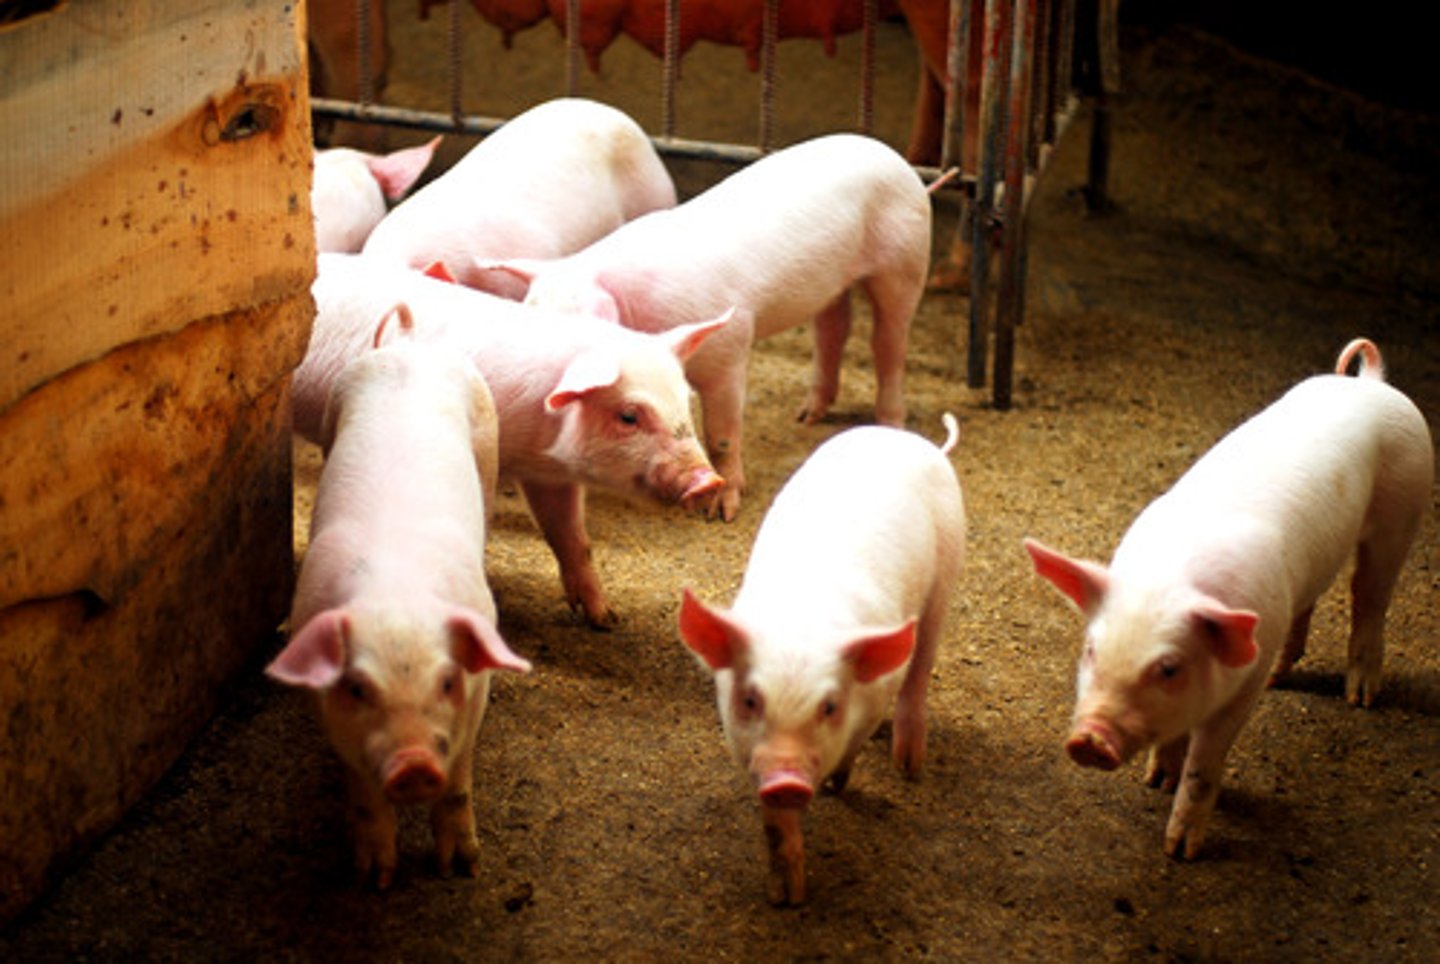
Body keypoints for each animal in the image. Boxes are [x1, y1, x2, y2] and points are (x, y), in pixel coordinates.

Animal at [267, 305, 532, 889]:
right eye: (358, 687)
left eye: (448, 681)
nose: (413, 764)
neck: (397, 601)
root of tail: (411, 343)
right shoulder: (332, 717)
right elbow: (364, 793)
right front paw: (375, 879)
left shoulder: (478, 693)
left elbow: (459, 779)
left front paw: (460, 869)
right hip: (332, 415)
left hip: (488, 440)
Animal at [296, 253, 729, 627]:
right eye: (629, 415)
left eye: (684, 401)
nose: (707, 480)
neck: (537, 440)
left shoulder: (550, 476)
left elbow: (572, 537)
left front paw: (605, 618)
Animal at [484, 132, 933, 523]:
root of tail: (892, 157)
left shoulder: (730, 350)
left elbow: (721, 433)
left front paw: (720, 512)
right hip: (832, 283)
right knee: (833, 326)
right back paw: (806, 417)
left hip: (905, 259)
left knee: (889, 342)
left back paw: (890, 423)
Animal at [678, 414, 966, 904]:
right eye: (750, 700)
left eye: (829, 707)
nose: (786, 780)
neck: (802, 626)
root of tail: (918, 442)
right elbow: (776, 826)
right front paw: (787, 897)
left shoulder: (873, 698)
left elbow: (852, 746)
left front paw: (837, 784)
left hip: (946, 573)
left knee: (921, 663)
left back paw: (908, 766)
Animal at [1025, 337, 1433, 859]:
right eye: (1091, 650)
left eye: (1169, 668)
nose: (1090, 740)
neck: (1174, 580)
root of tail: (1372, 382)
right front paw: (1156, 780)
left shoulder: (1241, 690)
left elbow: (1205, 763)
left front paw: (1179, 851)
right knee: (1312, 600)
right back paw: (1282, 676)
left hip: (1403, 509)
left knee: (1370, 597)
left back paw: (1360, 698)